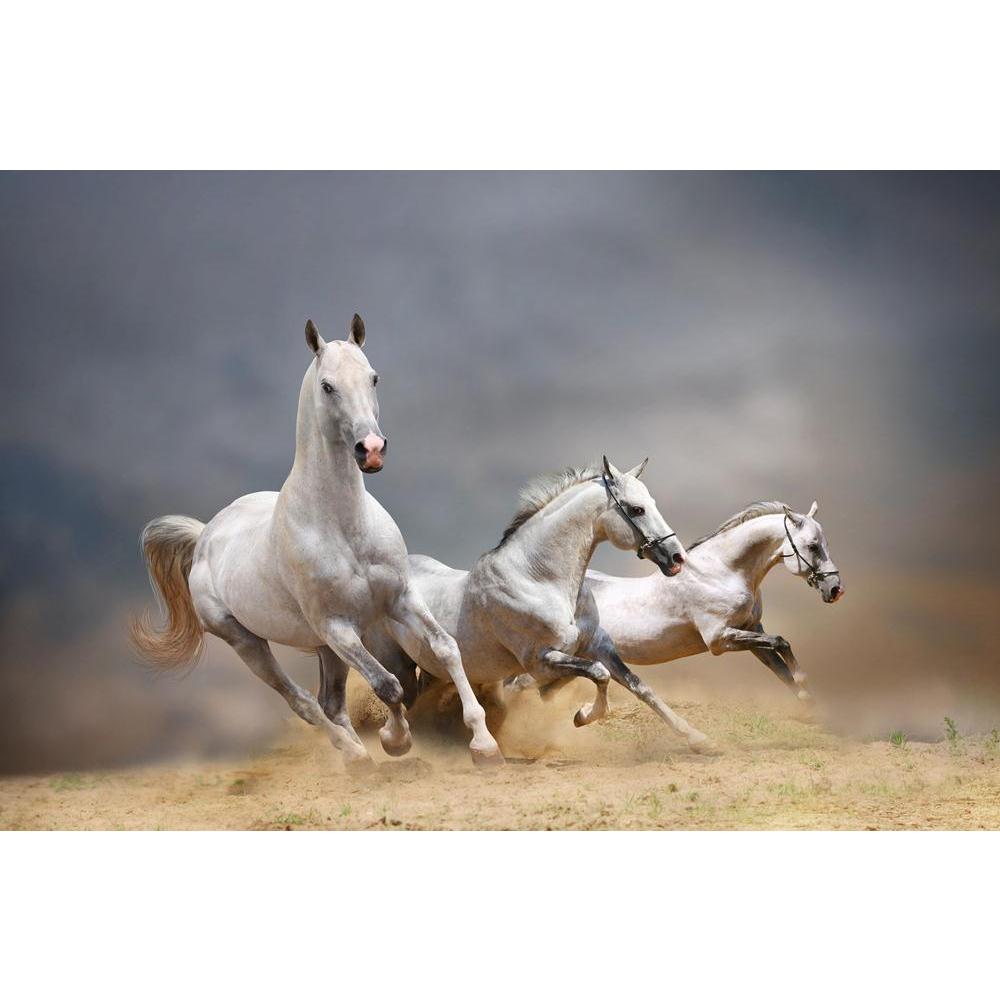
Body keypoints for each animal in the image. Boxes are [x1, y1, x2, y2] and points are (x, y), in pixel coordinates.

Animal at [130, 314, 502, 770]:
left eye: (373, 377)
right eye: (327, 385)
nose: (371, 450)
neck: (344, 528)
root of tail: (205, 537)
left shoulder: (400, 600)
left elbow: (446, 648)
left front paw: (484, 745)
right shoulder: (338, 627)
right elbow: (388, 684)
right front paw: (395, 740)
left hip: (324, 648)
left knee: (331, 704)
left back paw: (358, 757)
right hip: (249, 642)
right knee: (303, 702)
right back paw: (356, 755)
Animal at [368, 457, 713, 752]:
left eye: (652, 503)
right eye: (636, 509)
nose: (676, 557)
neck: (539, 579)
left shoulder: (597, 645)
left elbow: (640, 687)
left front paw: (698, 739)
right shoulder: (541, 659)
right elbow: (598, 674)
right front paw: (582, 716)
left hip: (432, 670)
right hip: (398, 663)